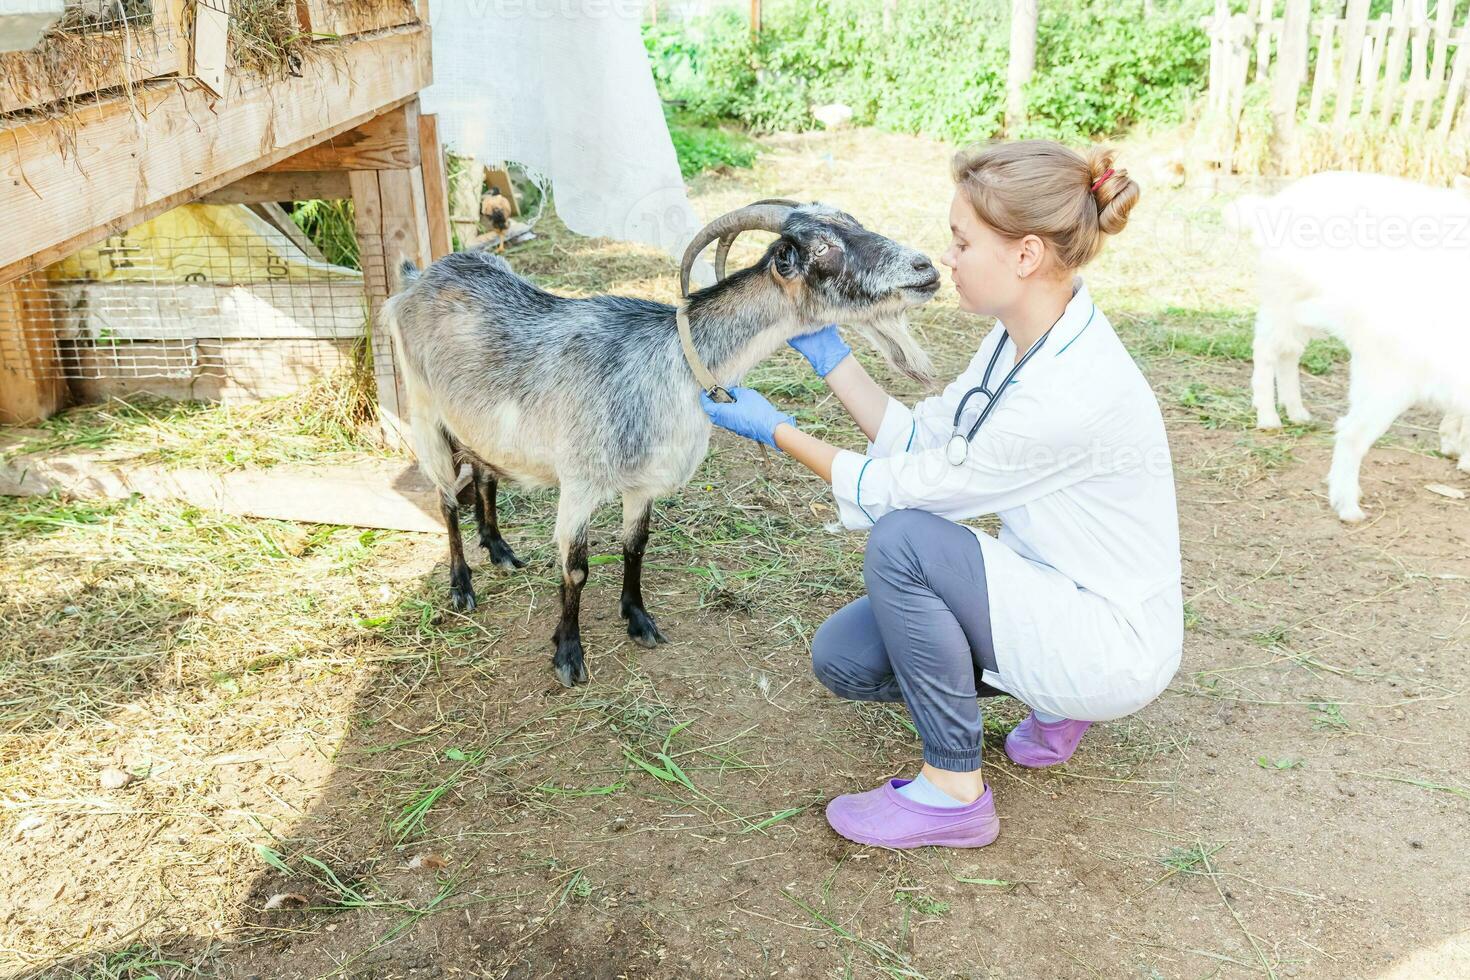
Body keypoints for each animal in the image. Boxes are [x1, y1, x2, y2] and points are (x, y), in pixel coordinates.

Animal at [385, 201, 934, 690]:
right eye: (823, 247)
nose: (926, 267)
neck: (674, 365)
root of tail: (416, 279)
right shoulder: (580, 483)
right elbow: (576, 569)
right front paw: (568, 654)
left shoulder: (642, 482)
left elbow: (636, 545)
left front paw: (639, 620)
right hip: (425, 408)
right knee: (446, 497)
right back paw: (461, 586)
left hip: (476, 422)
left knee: (483, 472)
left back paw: (498, 548)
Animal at [1228, 172, 1470, 520]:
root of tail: (1274, 203)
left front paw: (1454, 446)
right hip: (1286, 297)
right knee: (1268, 350)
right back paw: (1270, 418)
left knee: (1289, 353)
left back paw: (1297, 412)